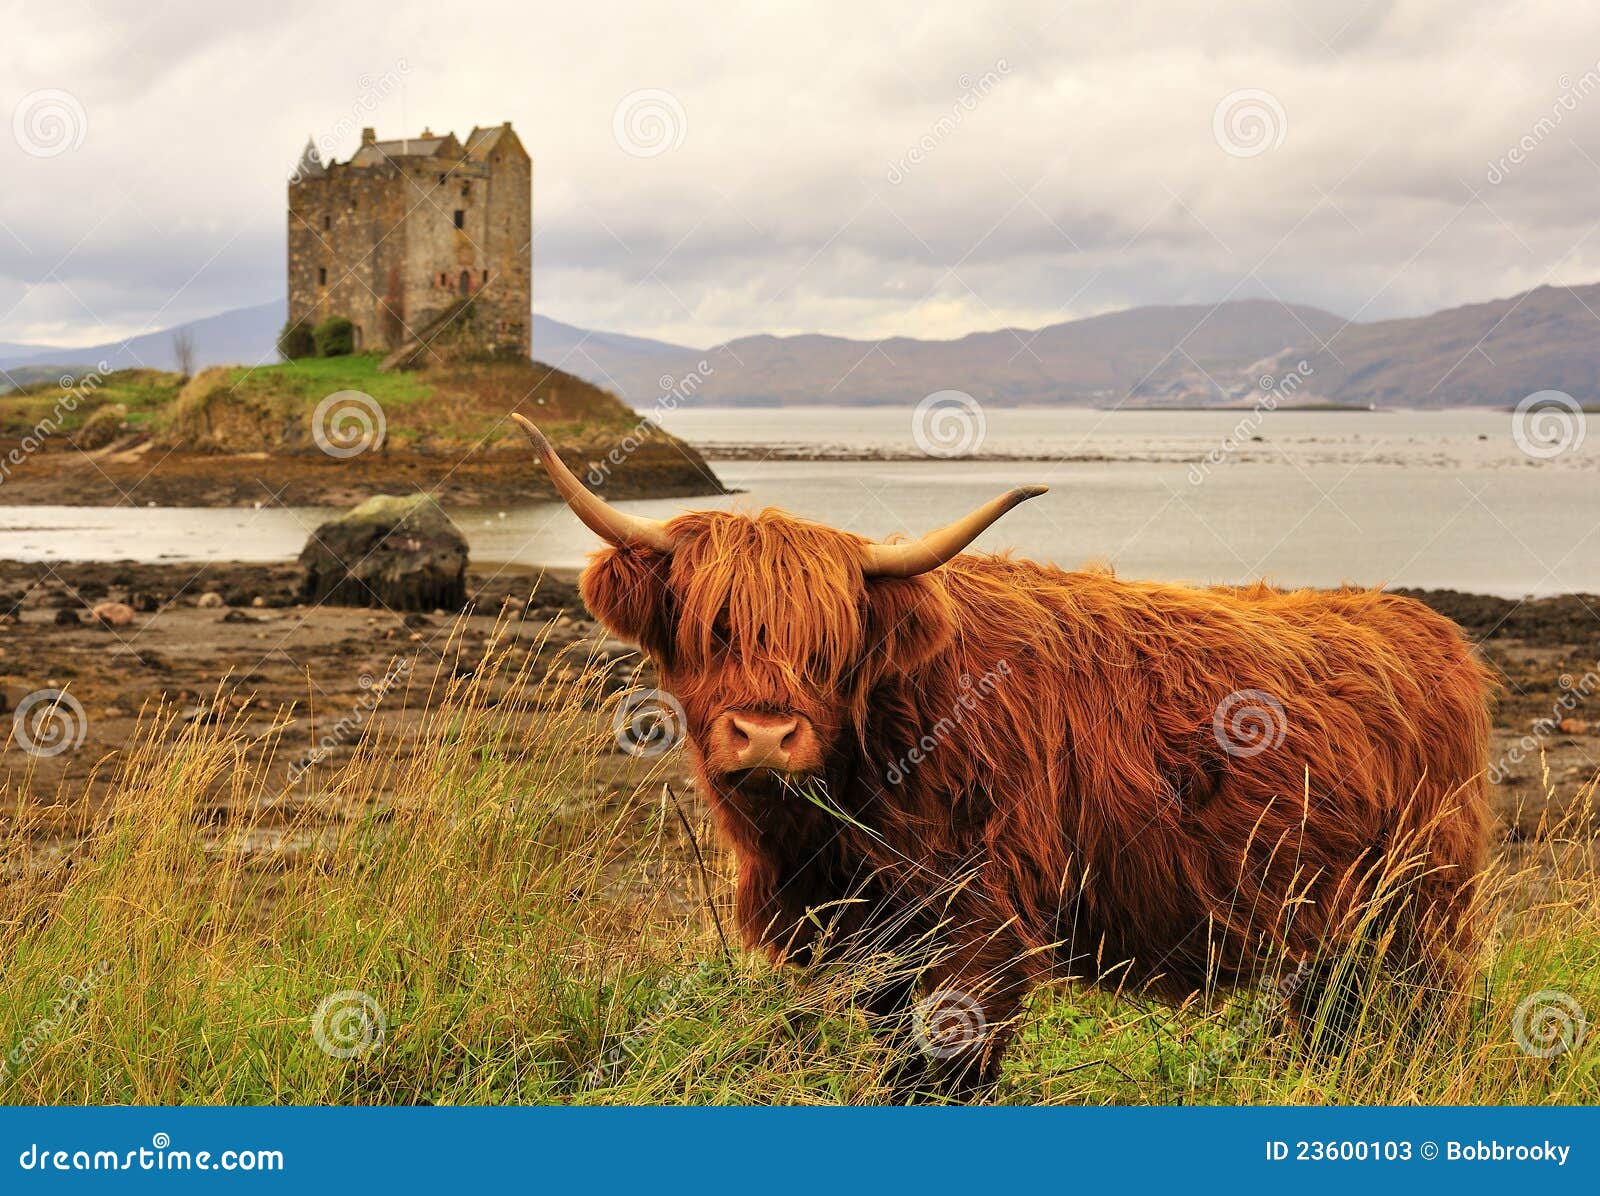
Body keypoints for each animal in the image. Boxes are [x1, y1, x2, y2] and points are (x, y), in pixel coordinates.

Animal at [515, 412, 1497, 1100]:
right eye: (711, 629)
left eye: (830, 647)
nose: (763, 735)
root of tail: (1425, 625)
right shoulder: (867, 934)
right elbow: (894, 1056)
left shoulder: (976, 921)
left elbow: (953, 1066)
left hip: (1420, 910)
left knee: (1417, 1026)